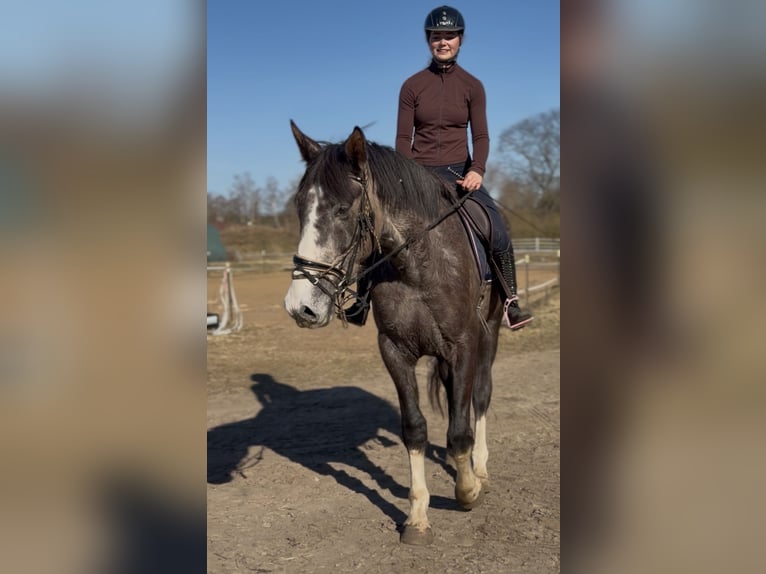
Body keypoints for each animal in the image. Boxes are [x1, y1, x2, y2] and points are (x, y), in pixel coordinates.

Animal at [283, 121, 504, 545]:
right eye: (300, 208)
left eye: (343, 209)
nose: (300, 307)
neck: (416, 265)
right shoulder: (395, 351)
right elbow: (415, 429)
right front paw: (417, 517)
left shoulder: (464, 345)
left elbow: (460, 428)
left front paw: (467, 490)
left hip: (491, 333)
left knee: (480, 397)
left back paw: (481, 468)